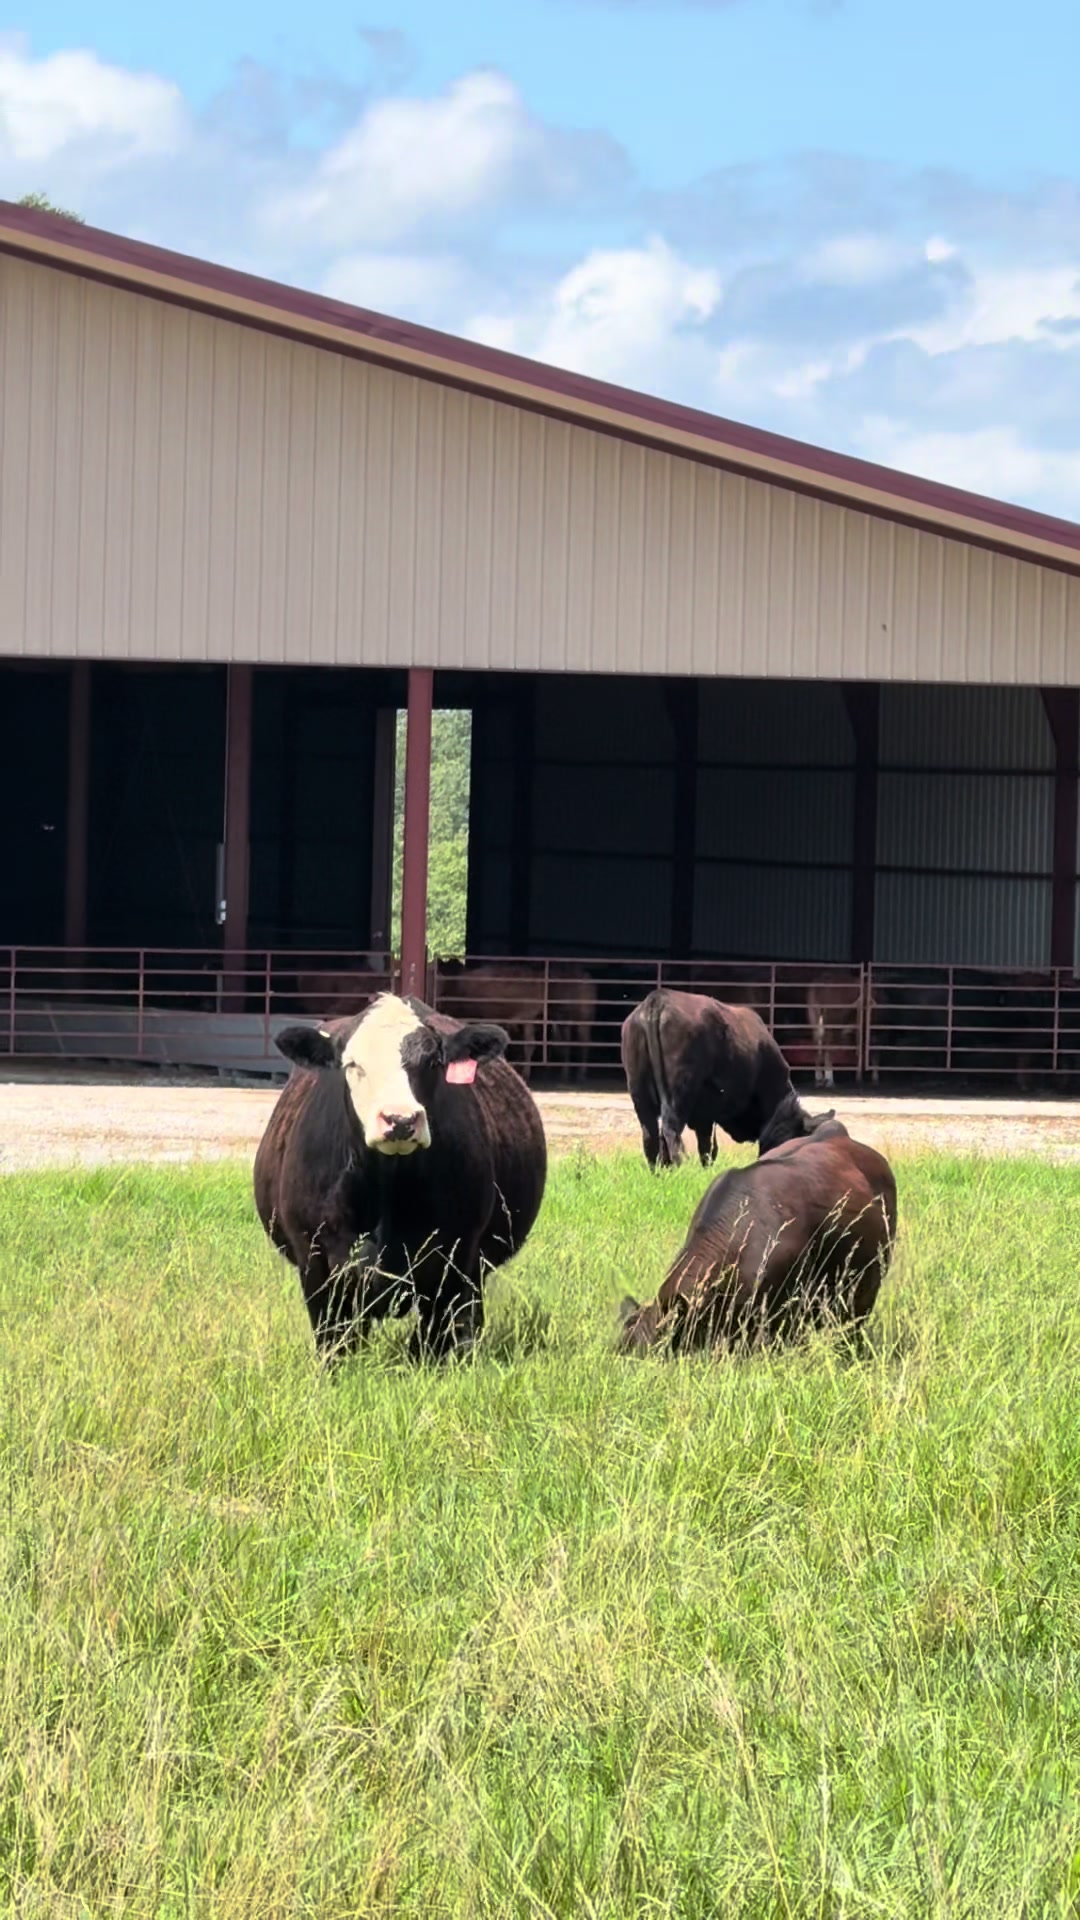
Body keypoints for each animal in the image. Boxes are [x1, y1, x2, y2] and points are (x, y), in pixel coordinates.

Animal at [253, 993, 547, 1363]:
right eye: (352, 1064)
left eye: (433, 1062)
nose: (400, 1119)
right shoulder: (315, 1260)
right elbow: (334, 1343)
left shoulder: (456, 1258)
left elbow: (430, 1345)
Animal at [620, 987, 832, 1170]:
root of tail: (658, 998)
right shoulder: (706, 1113)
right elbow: (707, 1148)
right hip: (677, 1095)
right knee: (671, 1133)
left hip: (639, 1093)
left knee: (650, 1135)